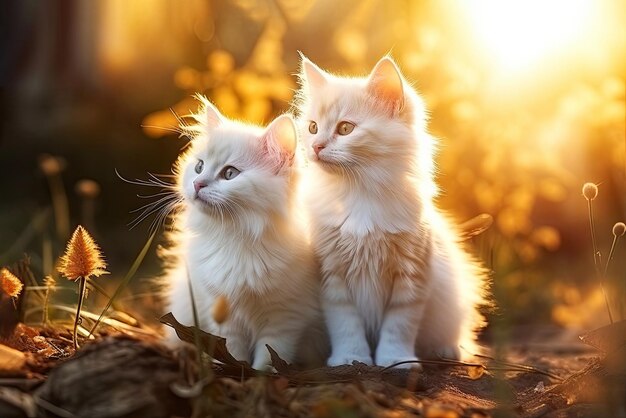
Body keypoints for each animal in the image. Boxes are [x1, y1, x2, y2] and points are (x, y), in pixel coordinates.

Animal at [161, 97, 324, 370]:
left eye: (229, 173)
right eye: (199, 166)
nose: (197, 184)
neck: (235, 236)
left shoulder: (285, 318)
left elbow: (267, 360)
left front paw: (257, 377)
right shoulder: (222, 313)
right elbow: (233, 352)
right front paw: (234, 371)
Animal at [294, 56, 488, 370]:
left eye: (345, 129)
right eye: (312, 127)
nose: (316, 146)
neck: (359, 193)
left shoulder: (411, 277)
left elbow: (399, 327)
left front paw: (396, 361)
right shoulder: (332, 277)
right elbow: (346, 326)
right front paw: (351, 358)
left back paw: (447, 351)